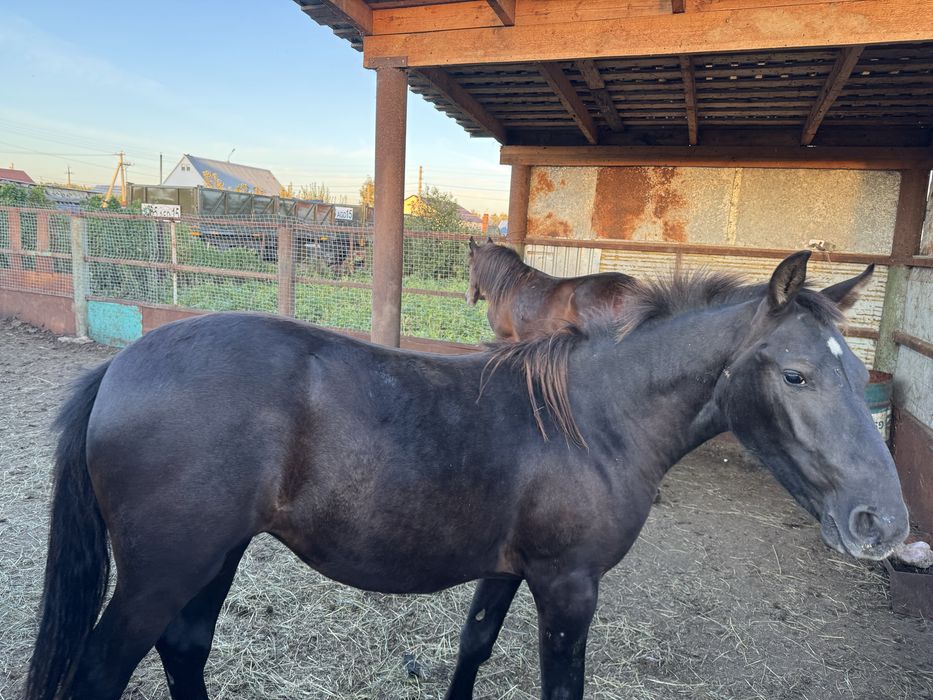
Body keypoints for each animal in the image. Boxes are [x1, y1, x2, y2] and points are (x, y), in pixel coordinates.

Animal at [26, 251, 908, 700]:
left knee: (185, 648)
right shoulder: (568, 587)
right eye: (795, 375)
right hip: (161, 572)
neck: (592, 421)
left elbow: (474, 645)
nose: (884, 524)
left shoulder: (510, 570)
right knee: (102, 672)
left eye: (853, 371)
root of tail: (118, 368)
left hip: (217, 554)